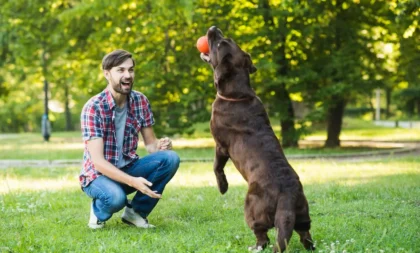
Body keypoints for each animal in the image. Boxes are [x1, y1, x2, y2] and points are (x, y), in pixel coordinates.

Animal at [201, 26, 316, 252]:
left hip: (252, 207)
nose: (213, 28)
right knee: (304, 233)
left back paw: (255, 246)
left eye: (219, 43)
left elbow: (216, 167)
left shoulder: (221, 145)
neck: (237, 94)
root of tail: (287, 195)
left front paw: (223, 187)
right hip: (302, 213)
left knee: (263, 236)